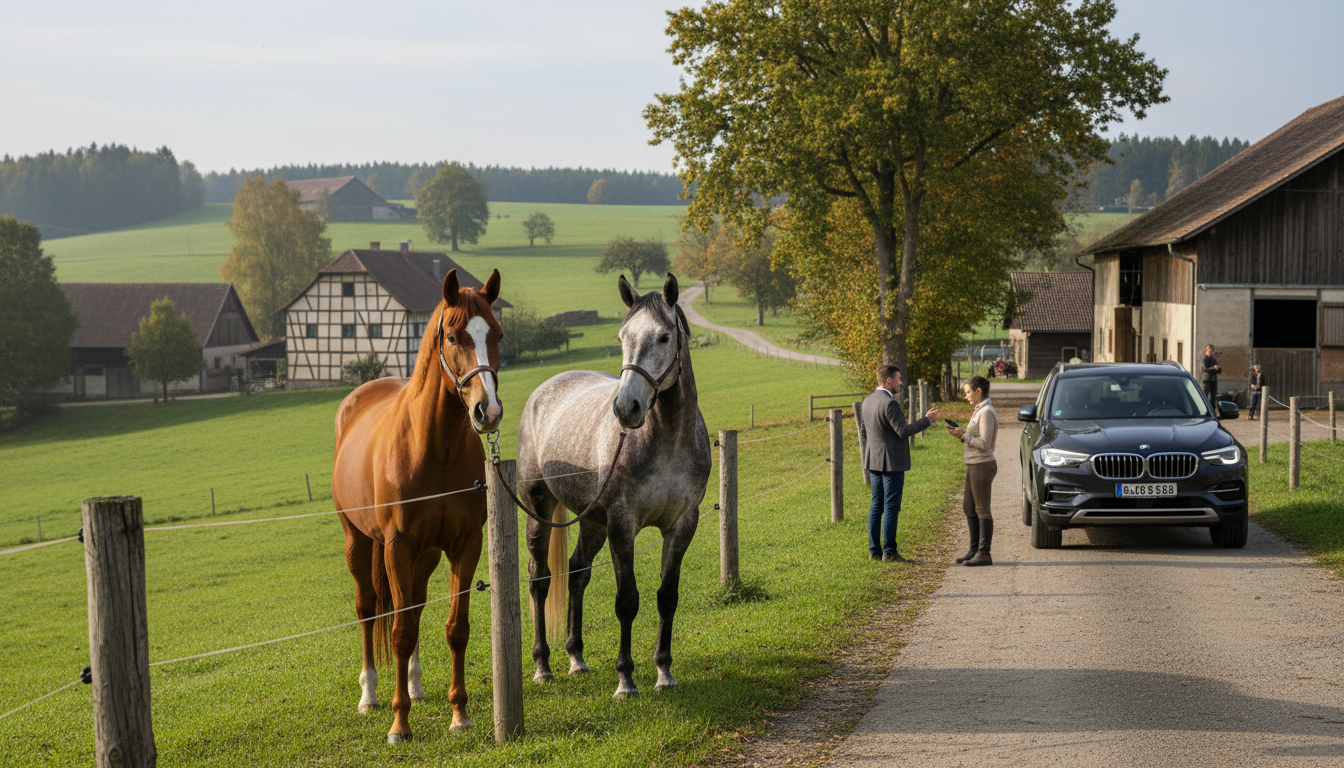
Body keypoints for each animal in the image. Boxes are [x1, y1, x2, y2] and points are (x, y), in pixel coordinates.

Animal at [332, 268, 502, 744]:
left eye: (496, 334)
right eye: (453, 335)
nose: (487, 411)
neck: (433, 448)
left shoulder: (465, 545)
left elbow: (455, 628)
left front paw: (459, 714)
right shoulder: (397, 546)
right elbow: (400, 630)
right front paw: (399, 723)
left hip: (425, 556)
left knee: (416, 604)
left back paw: (415, 684)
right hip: (358, 542)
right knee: (369, 608)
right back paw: (370, 694)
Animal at [516, 273, 711, 698]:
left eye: (664, 337)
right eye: (622, 337)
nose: (625, 408)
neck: (668, 441)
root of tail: (544, 389)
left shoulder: (682, 525)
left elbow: (667, 597)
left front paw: (664, 672)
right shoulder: (623, 525)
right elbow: (627, 601)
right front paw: (626, 679)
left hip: (592, 521)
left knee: (577, 572)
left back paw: (576, 658)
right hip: (539, 509)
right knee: (540, 579)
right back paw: (543, 666)